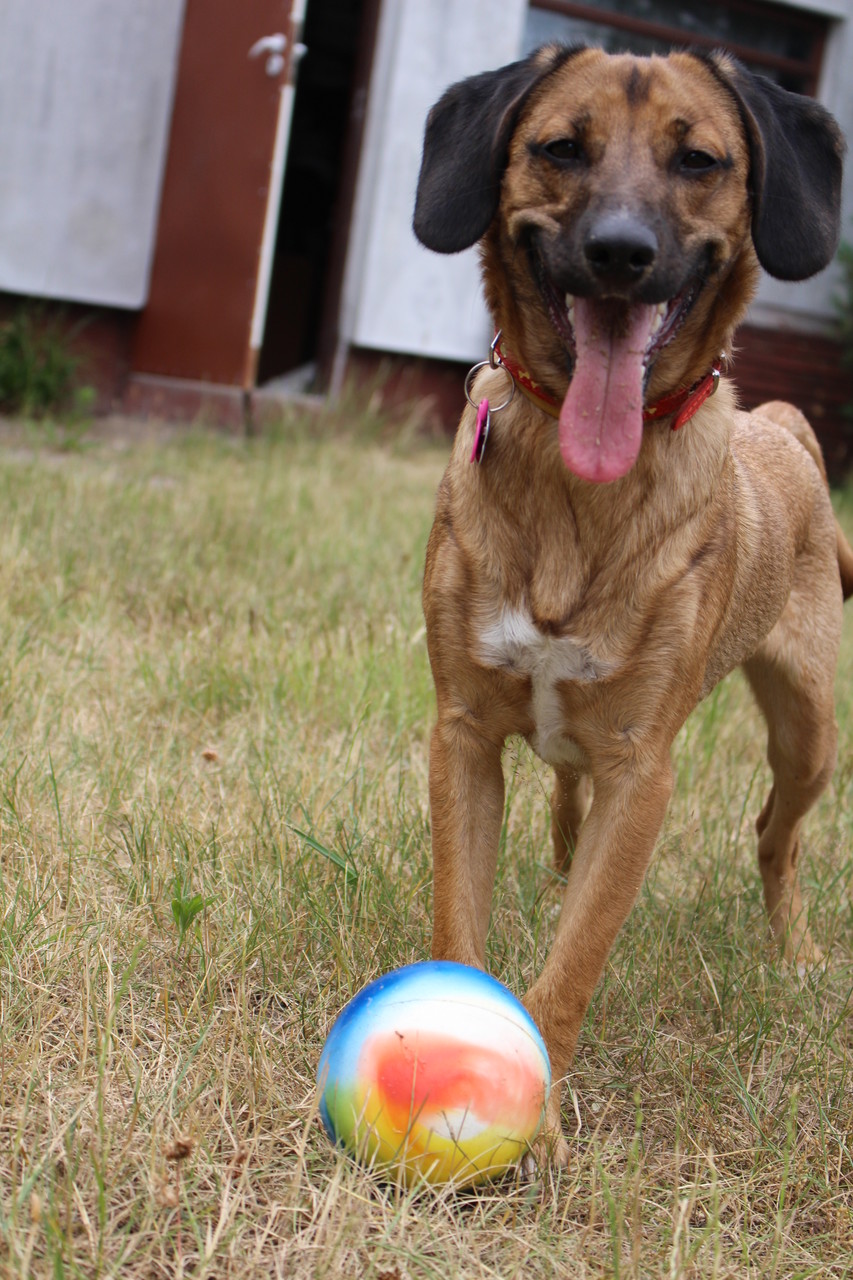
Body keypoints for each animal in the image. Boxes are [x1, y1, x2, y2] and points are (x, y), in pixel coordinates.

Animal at [412, 44, 852, 1166]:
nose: (619, 252)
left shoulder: (639, 772)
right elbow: (459, 917)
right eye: (560, 147)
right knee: (565, 806)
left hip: (808, 729)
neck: (580, 489)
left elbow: (573, 964)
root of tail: (786, 423)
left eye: (699, 161)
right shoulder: (463, 733)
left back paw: (792, 951)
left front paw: (535, 1115)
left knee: (776, 837)